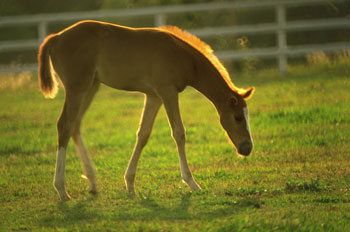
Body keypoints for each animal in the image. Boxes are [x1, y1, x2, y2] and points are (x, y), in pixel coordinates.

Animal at [38, 20, 254, 201]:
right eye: (237, 118)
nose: (247, 148)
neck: (181, 55)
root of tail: (56, 37)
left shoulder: (153, 96)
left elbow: (143, 134)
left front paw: (130, 185)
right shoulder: (167, 91)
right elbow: (179, 133)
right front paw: (192, 183)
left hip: (91, 86)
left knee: (75, 125)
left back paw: (91, 182)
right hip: (77, 88)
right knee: (64, 125)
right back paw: (62, 190)